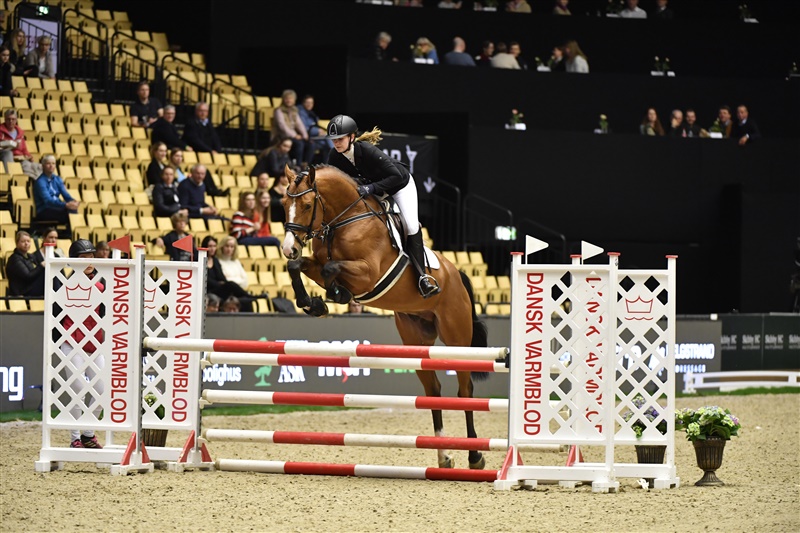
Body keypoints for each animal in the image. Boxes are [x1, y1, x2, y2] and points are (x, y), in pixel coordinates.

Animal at [280, 164, 489, 470]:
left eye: (307, 205)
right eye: (284, 204)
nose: (289, 247)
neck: (344, 220)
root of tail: (457, 275)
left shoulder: (368, 273)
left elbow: (331, 268)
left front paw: (336, 294)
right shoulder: (316, 264)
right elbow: (298, 266)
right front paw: (313, 304)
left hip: (456, 338)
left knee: (465, 390)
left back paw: (475, 456)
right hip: (415, 338)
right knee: (433, 389)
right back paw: (443, 456)